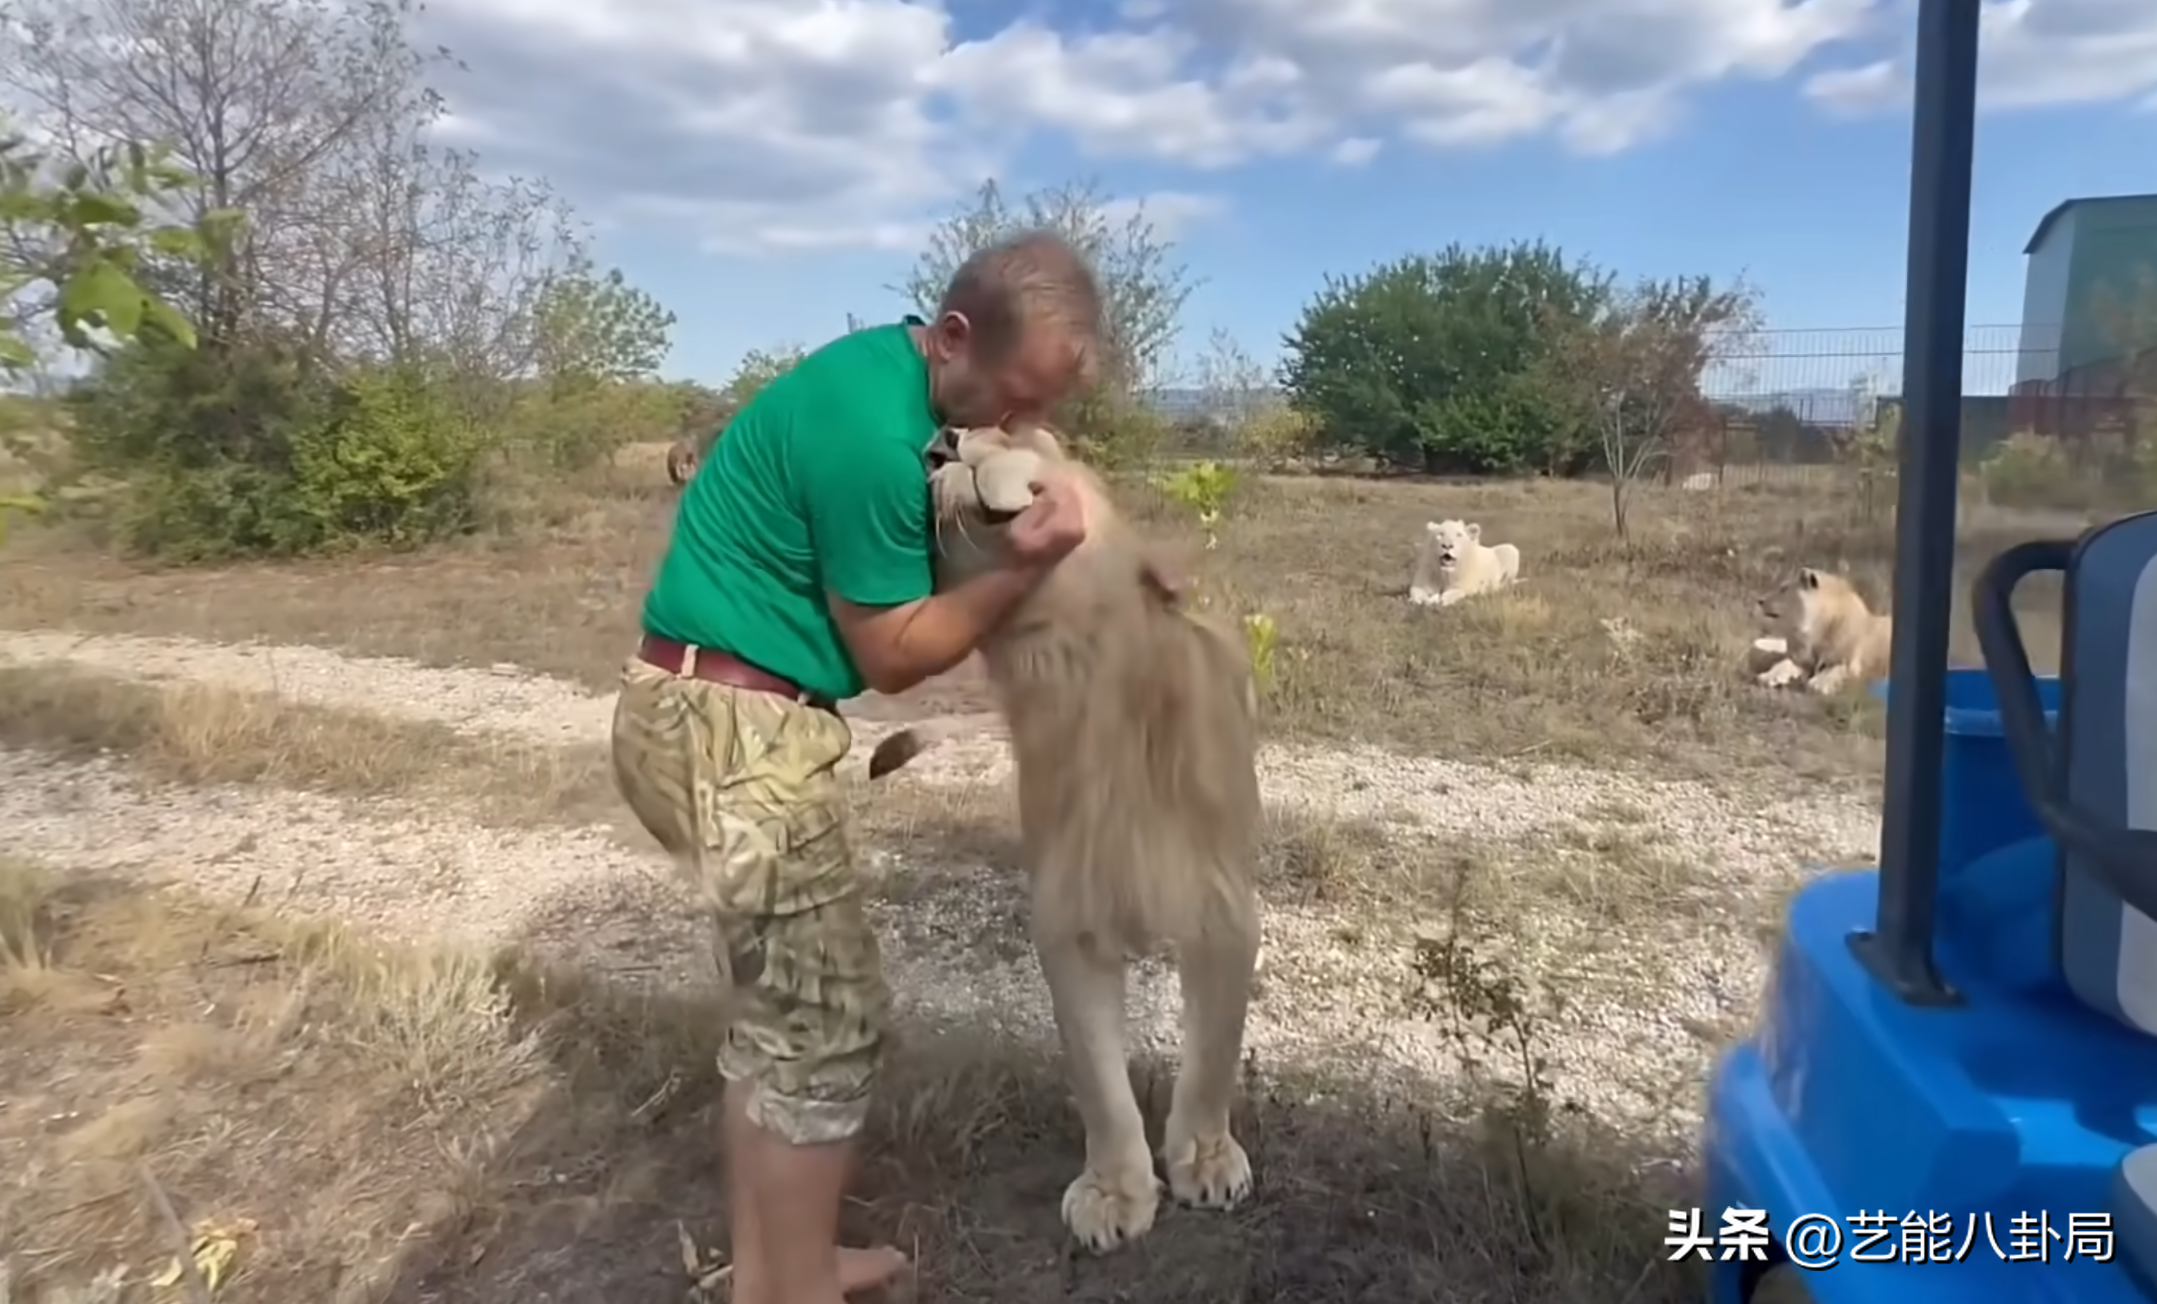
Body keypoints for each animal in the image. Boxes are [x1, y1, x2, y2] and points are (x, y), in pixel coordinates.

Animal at [862, 424, 1259, 1250]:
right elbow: (1097, 1077)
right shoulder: (1069, 914)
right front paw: (1113, 1194)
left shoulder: (1221, 904)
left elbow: (1213, 1050)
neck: (1074, 673)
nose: (945, 437)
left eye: (1013, 430)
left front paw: (1206, 1160)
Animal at [1751, 569, 1889, 689]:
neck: (1815, 632)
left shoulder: (1851, 665)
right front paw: (1769, 676)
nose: (1760, 600)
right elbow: (1784, 663)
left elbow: (1835, 669)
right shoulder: (1801, 659)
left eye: (1783, 589)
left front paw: (1819, 684)